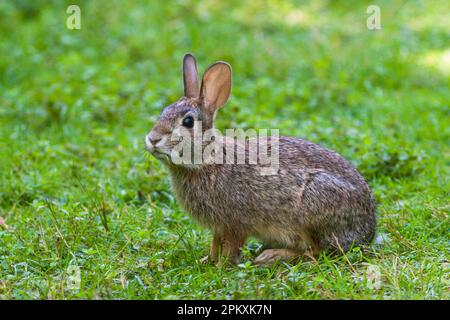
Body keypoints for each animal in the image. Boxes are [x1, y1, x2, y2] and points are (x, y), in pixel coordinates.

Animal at [145, 53, 376, 264]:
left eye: (188, 122)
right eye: (164, 111)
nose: (152, 139)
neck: (206, 160)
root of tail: (368, 231)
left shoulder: (235, 223)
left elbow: (232, 246)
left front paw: (222, 266)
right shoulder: (219, 227)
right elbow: (215, 244)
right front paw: (207, 261)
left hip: (315, 206)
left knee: (317, 252)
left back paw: (271, 256)